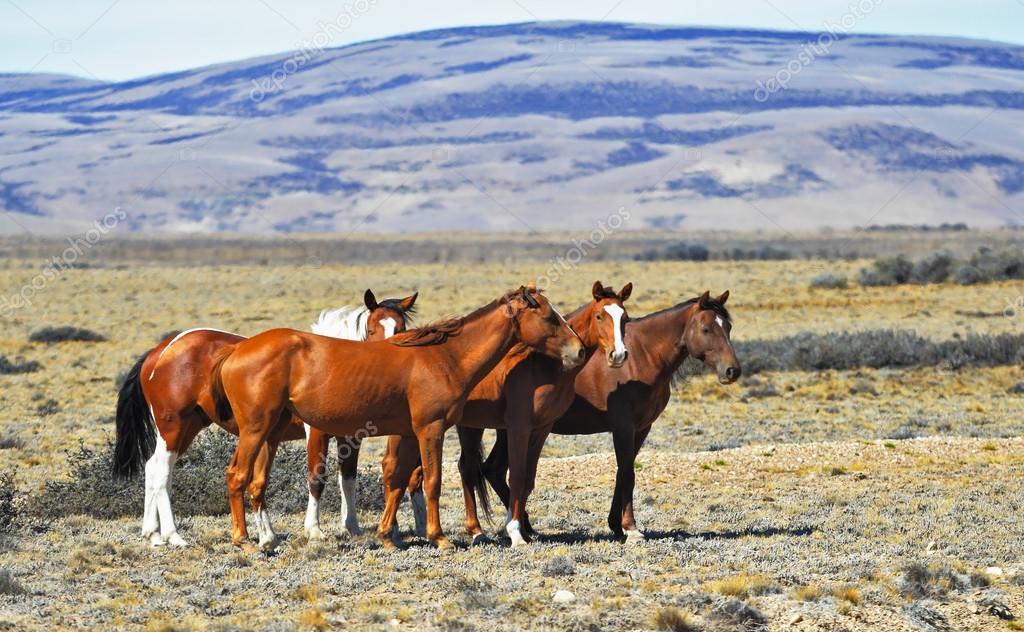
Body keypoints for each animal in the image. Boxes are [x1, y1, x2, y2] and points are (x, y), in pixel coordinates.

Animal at [113, 288, 415, 544]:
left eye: (401, 328)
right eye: (372, 329)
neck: (336, 362)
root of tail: (160, 351)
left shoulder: (350, 436)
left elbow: (348, 479)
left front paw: (352, 526)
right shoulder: (316, 433)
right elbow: (316, 478)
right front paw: (314, 530)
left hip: (188, 427)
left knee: (153, 467)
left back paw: (153, 534)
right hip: (174, 426)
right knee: (162, 471)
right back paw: (173, 535)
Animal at [207, 286, 585, 549]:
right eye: (549, 317)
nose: (579, 350)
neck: (444, 357)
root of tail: (237, 349)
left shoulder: (406, 433)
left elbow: (399, 480)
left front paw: (388, 535)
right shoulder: (430, 429)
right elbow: (431, 481)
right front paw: (438, 537)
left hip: (270, 433)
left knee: (256, 482)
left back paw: (267, 538)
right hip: (256, 430)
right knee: (236, 475)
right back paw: (243, 539)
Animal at [378, 278, 630, 544]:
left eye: (625, 318)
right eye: (600, 316)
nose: (617, 355)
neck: (543, 366)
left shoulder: (541, 429)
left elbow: (528, 479)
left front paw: (522, 529)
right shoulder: (518, 428)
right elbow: (516, 476)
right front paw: (515, 532)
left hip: (467, 427)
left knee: (463, 468)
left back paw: (474, 531)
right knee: (393, 467)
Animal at [475, 290, 741, 540]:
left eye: (728, 327)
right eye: (706, 329)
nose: (733, 371)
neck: (642, 357)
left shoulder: (641, 429)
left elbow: (622, 473)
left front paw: (616, 525)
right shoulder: (623, 427)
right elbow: (627, 474)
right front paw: (631, 529)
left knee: (493, 469)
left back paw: (525, 526)